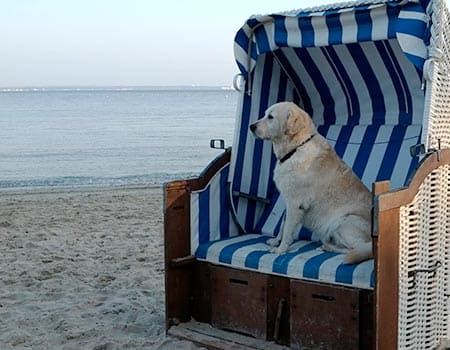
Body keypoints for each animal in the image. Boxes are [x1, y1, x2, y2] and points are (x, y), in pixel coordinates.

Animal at [250, 101, 372, 262]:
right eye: (264, 114)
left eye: (270, 117)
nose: (251, 126)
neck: (296, 148)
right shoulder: (288, 201)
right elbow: (283, 225)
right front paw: (276, 241)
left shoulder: (295, 203)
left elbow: (287, 229)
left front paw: (281, 249)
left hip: (344, 222)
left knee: (357, 249)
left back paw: (328, 247)